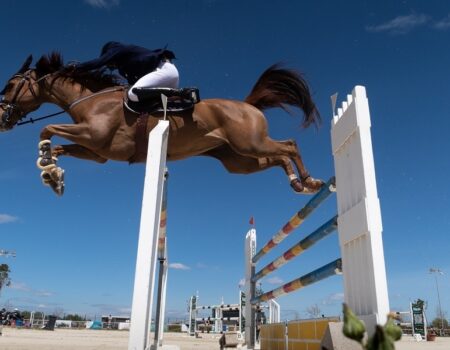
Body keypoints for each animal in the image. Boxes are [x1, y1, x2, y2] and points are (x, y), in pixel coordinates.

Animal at [0, 55, 324, 197]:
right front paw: (52, 173)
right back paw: (297, 184)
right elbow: (60, 147)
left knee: (289, 146)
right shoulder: (98, 152)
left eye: (12, 85)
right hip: (240, 160)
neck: (91, 99)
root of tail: (248, 104)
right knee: (278, 157)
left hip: (250, 144)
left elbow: (47, 130)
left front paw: (47, 164)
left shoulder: (94, 136)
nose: (2, 117)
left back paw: (310, 181)